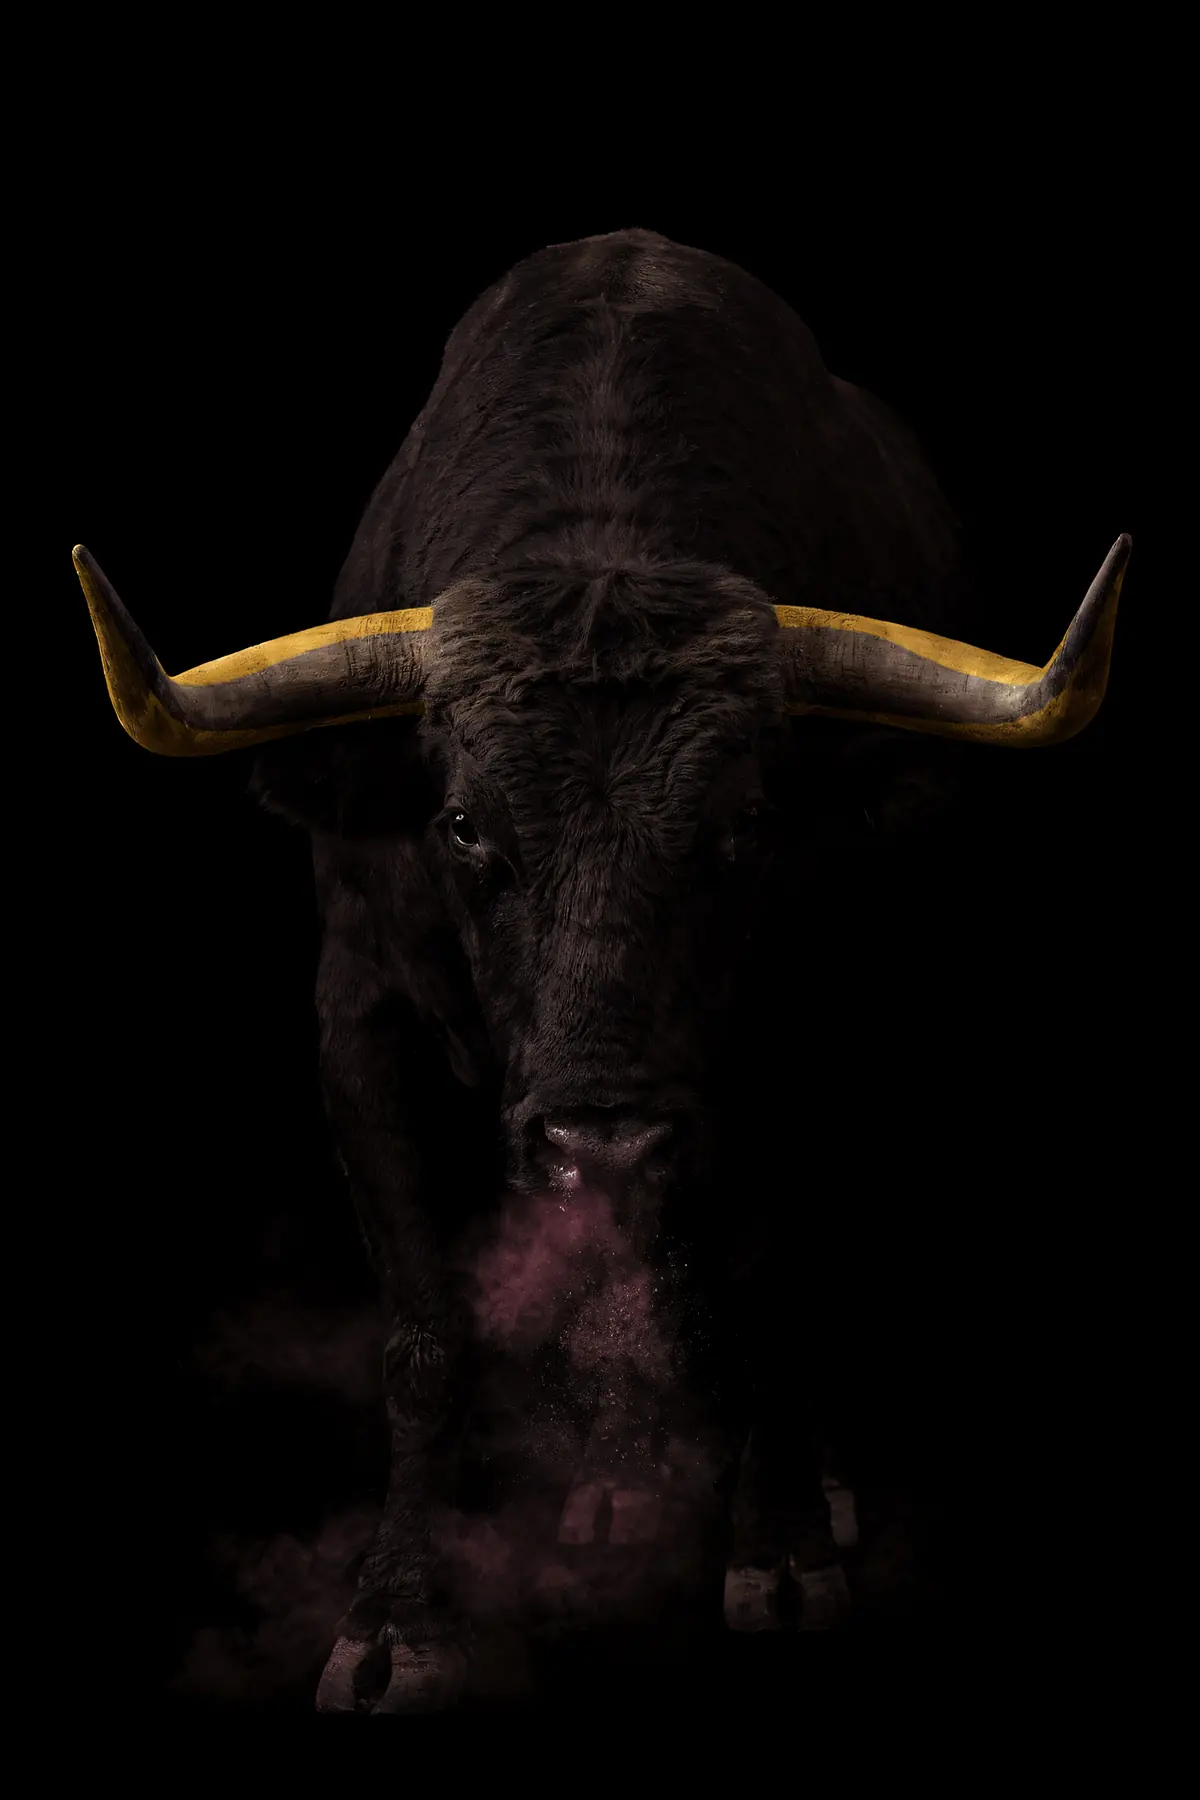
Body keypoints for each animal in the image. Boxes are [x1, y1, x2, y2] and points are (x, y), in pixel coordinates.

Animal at [76, 228, 1128, 1712]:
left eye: (746, 825)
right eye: (465, 824)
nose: (603, 1133)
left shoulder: (813, 1027)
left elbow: (769, 1277)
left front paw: (783, 1544)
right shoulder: (358, 1022)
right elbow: (425, 1331)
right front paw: (398, 1623)